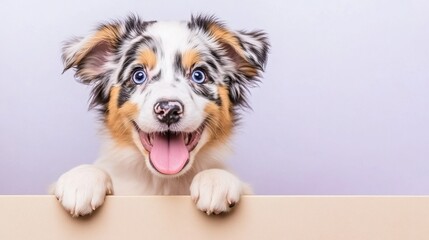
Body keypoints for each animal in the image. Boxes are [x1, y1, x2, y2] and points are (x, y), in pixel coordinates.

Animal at [51, 15, 270, 218]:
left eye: (199, 75)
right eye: (138, 75)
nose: (168, 110)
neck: (163, 183)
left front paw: (215, 180)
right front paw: (81, 180)